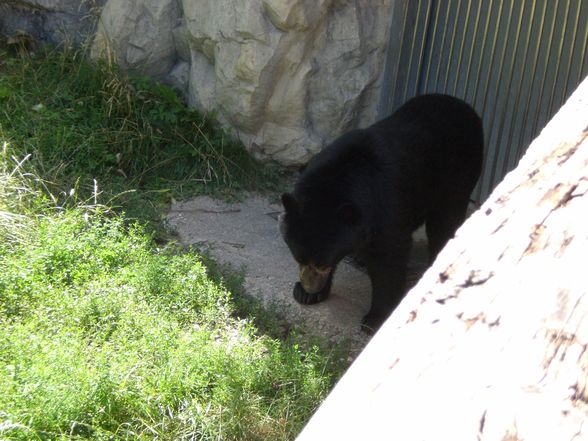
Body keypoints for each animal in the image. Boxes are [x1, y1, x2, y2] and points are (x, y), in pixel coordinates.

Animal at [280, 94, 482, 332]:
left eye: (321, 263)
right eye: (299, 258)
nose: (310, 286)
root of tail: (465, 106)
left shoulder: (387, 205)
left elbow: (390, 259)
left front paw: (374, 319)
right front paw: (305, 295)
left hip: (457, 176)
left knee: (445, 223)